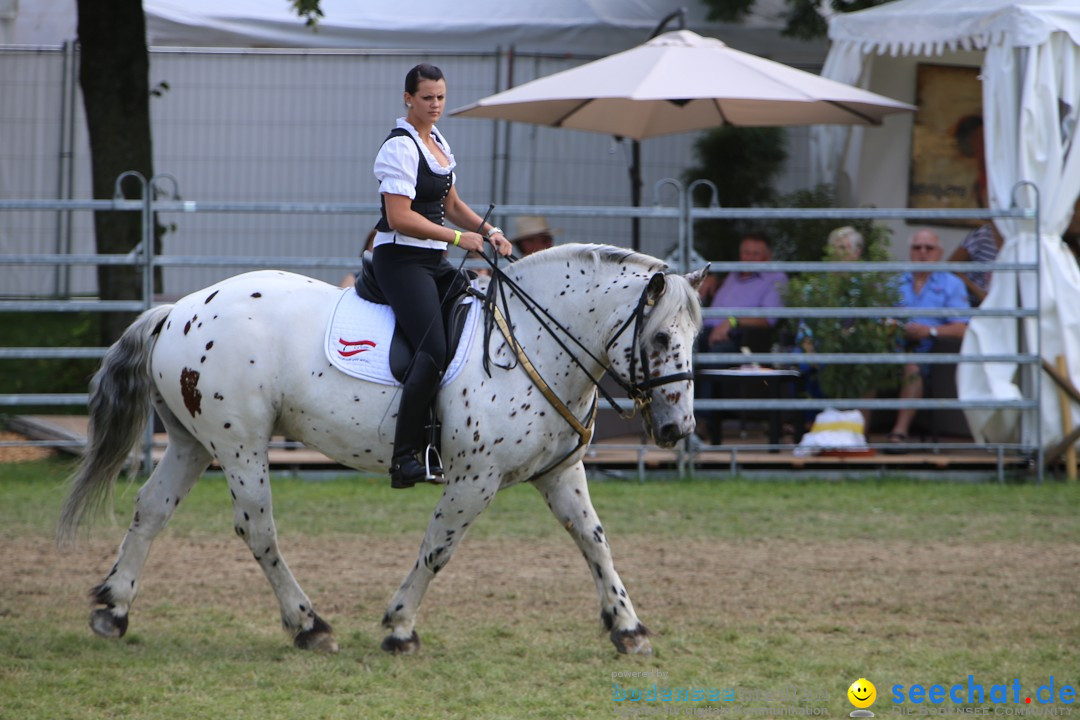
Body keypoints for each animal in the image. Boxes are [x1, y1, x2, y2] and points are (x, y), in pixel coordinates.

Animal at [59, 245, 708, 656]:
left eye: (694, 336)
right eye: (659, 338)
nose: (678, 428)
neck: (532, 341)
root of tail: (179, 311)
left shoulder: (559, 473)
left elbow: (594, 542)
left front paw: (627, 627)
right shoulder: (475, 480)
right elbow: (438, 548)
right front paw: (400, 629)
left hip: (193, 443)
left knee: (151, 510)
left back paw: (113, 608)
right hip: (239, 443)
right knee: (257, 529)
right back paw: (308, 625)